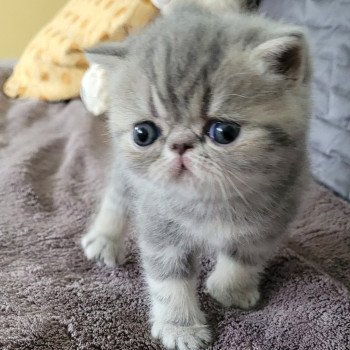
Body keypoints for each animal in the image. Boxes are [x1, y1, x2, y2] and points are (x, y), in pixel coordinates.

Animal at [80, 1, 310, 348]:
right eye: (143, 133)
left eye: (224, 132)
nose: (179, 145)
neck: (209, 202)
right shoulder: (159, 224)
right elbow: (168, 281)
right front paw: (180, 327)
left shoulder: (274, 215)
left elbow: (244, 257)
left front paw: (231, 289)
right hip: (127, 175)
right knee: (117, 197)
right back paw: (105, 238)